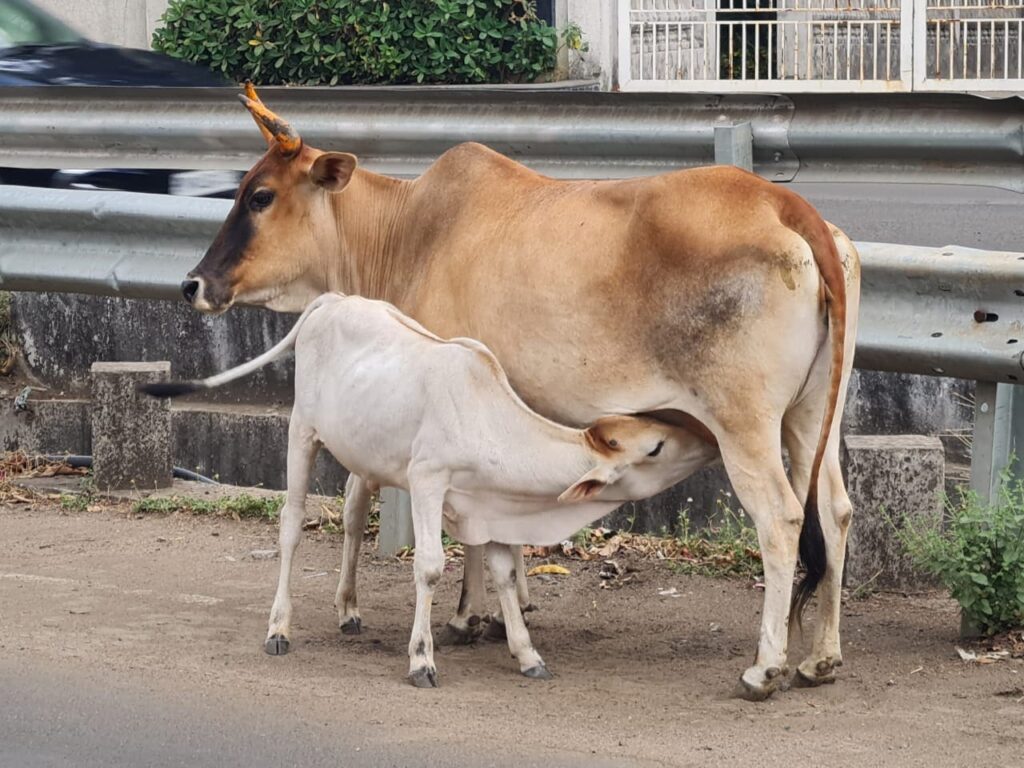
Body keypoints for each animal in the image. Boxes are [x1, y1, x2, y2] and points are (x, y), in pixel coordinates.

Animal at [144, 291, 715, 686]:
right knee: (290, 525)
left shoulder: (489, 505)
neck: (487, 415)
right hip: (301, 433)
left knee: (353, 515)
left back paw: (348, 610)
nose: (711, 440)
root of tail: (333, 299)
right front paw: (421, 658)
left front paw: (526, 653)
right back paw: (279, 628)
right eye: (656, 447)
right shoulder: (427, 482)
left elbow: (504, 573)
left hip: (363, 454)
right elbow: (430, 567)